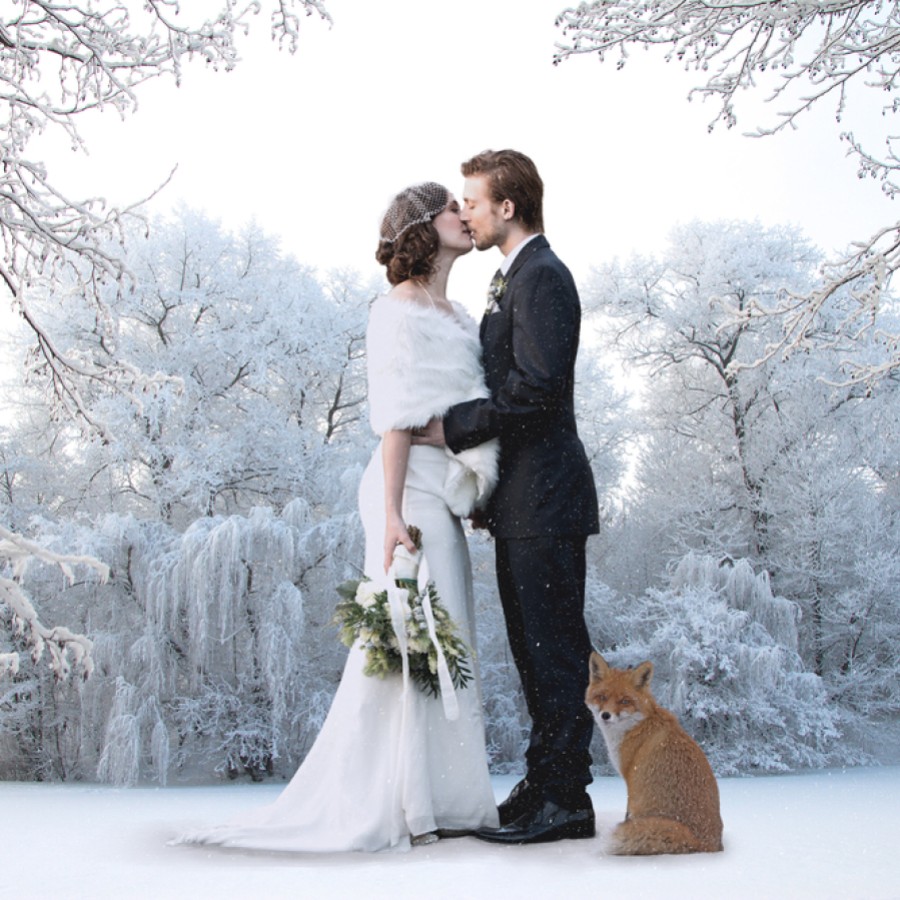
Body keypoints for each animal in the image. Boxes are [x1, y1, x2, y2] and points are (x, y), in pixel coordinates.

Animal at [584, 652, 724, 856]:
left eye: (624, 701)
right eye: (602, 697)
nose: (606, 715)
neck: (638, 725)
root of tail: (705, 844)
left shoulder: (631, 780)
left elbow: (626, 814)